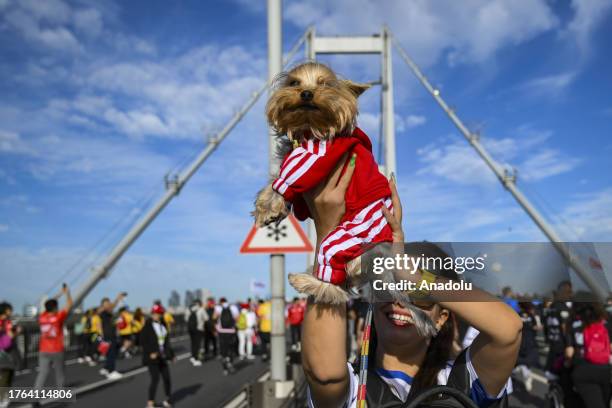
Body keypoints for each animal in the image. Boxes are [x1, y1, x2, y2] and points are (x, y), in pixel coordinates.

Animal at [252, 62, 436, 334]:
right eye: (294, 83)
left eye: (324, 84)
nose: (306, 93)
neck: (310, 126)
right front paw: (274, 210)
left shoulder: (317, 156)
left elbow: (286, 179)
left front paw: (268, 207)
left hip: (346, 237)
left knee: (337, 286)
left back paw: (305, 280)